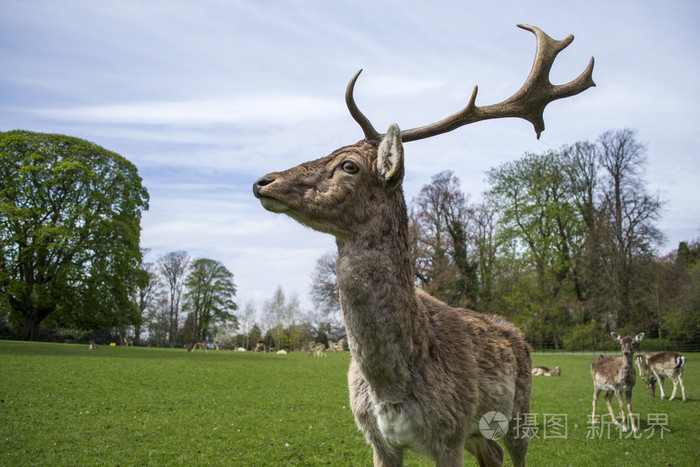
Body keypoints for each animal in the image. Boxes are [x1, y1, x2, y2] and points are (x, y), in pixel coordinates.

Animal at [252, 23, 592, 466]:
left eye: (348, 165)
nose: (264, 181)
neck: (391, 385)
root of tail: (519, 334)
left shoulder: (449, 435)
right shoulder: (378, 439)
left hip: (521, 412)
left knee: (515, 452)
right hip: (480, 433)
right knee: (493, 454)